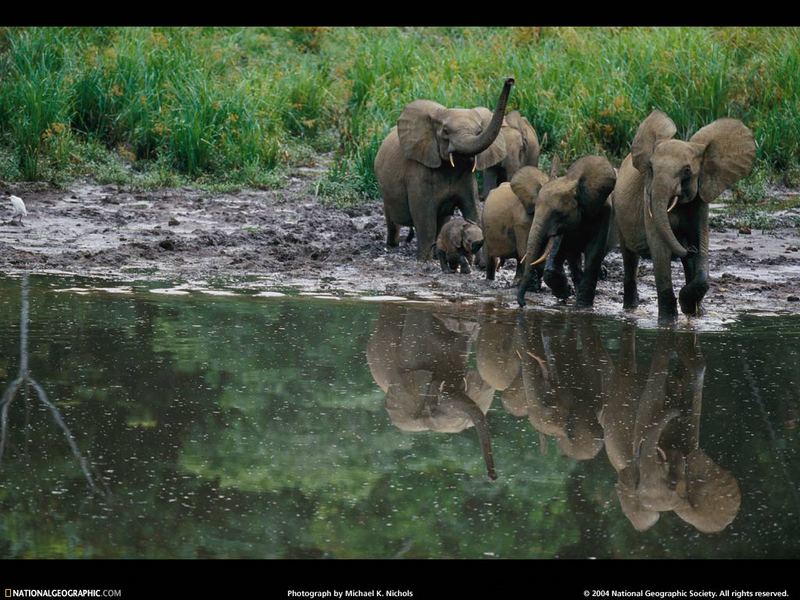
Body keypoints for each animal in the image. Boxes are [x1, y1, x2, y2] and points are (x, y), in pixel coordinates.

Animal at [374, 78, 516, 260]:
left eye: (479, 131)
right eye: (446, 132)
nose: (510, 80)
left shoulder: (467, 180)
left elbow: (473, 211)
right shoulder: (418, 174)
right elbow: (424, 217)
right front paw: (424, 260)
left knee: (441, 220)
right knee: (393, 219)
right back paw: (393, 245)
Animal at [516, 155, 616, 310]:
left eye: (558, 213)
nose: (523, 304)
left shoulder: (603, 213)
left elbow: (594, 252)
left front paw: (583, 307)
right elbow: (567, 251)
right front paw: (568, 293)